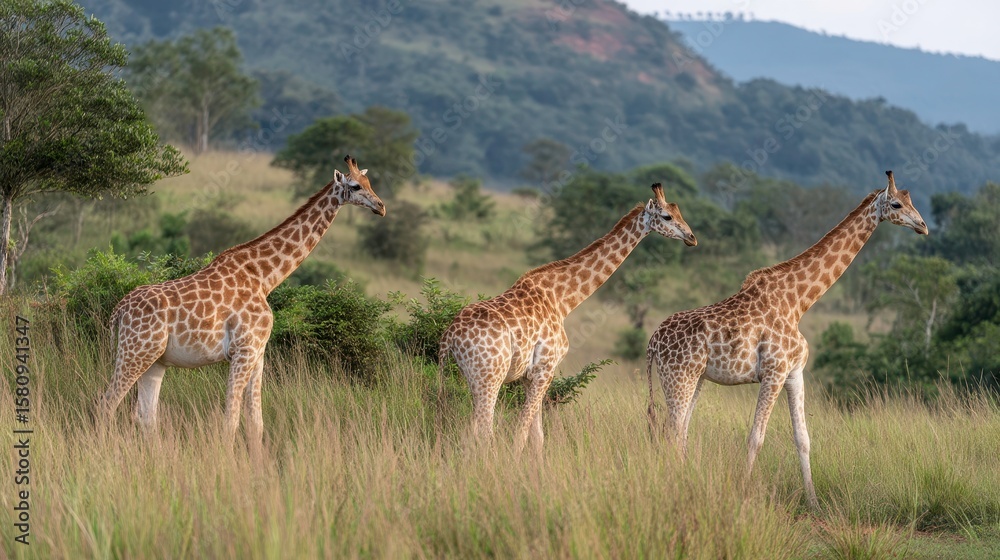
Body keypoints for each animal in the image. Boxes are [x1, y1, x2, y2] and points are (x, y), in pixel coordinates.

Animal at [97, 155, 385, 452]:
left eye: (369, 182)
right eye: (354, 186)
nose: (381, 206)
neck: (264, 277)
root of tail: (119, 311)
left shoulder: (258, 353)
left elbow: (256, 424)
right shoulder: (244, 351)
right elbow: (231, 420)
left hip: (155, 360)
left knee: (145, 416)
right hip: (135, 352)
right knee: (107, 404)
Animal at [439, 183, 698, 454]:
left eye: (679, 212)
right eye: (667, 216)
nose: (692, 238)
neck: (561, 300)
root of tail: (450, 337)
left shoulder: (529, 376)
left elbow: (537, 436)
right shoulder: (545, 369)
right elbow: (522, 433)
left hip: (470, 377)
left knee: (468, 432)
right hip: (490, 376)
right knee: (484, 431)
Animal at [646, 171, 927, 508]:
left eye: (911, 200)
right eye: (897, 203)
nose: (923, 225)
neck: (798, 302)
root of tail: (652, 343)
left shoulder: (794, 373)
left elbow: (803, 439)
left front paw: (814, 502)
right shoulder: (774, 372)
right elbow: (756, 437)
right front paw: (744, 493)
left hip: (696, 378)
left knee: (680, 431)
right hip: (679, 376)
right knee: (671, 431)